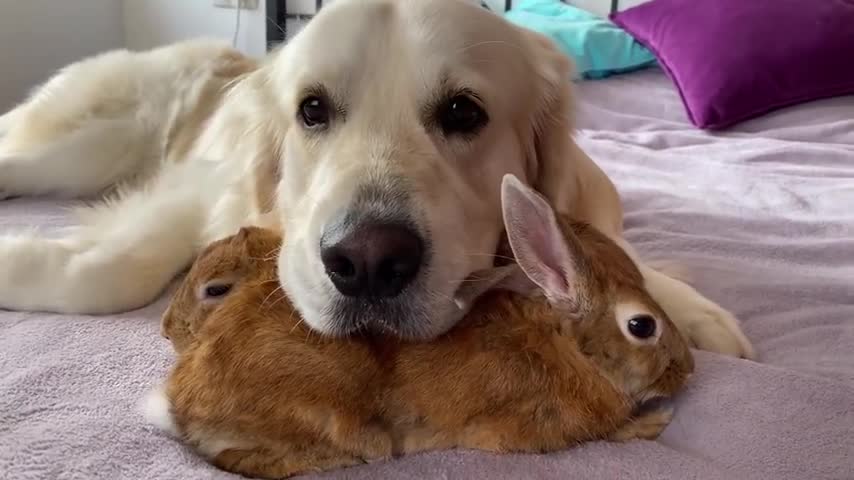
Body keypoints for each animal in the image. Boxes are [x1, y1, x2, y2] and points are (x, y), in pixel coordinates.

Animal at [0, 0, 752, 356]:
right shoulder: (202, 191)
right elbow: (113, 273)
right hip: (85, 144)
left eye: (463, 112)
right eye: (311, 110)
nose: (365, 263)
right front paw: (19, 263)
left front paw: (692, 311)